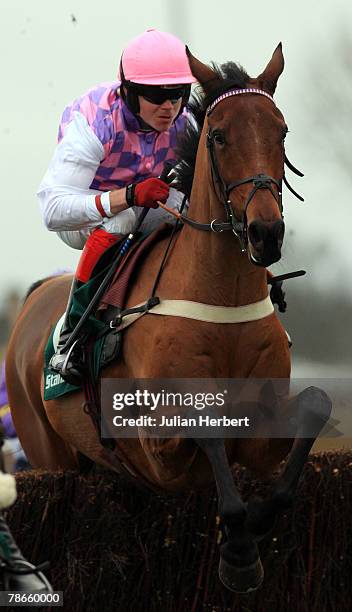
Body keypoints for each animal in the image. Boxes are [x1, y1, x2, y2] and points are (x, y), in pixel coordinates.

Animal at [5, 45, 332, 592]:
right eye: (218, 135)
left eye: (282, 131)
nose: (265, 233)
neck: (221, 301)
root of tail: (33, 299)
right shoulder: (154, 449)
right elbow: (205, 423)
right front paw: (238, 551)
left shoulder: (261, 439)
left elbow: (314, 406)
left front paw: (254, 531)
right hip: (44, 447)